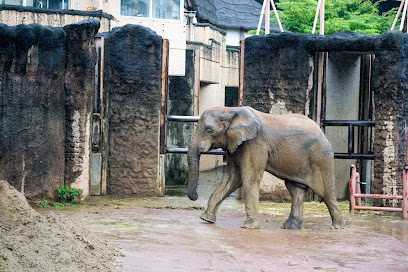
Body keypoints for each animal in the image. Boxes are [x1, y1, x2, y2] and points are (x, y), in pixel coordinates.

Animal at [187, 106, 344, 230]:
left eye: (209, 130)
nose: (195, 197)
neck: (231, 110)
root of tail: (322, 131)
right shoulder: (235, 145)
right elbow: (232, 178)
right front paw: (206, 219)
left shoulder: (255, 144)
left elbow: (249, 177)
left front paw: (248, 227)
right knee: (296, 190)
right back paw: (289, 227)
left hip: (320, 158)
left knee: (324, 192)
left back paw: (337, 227)